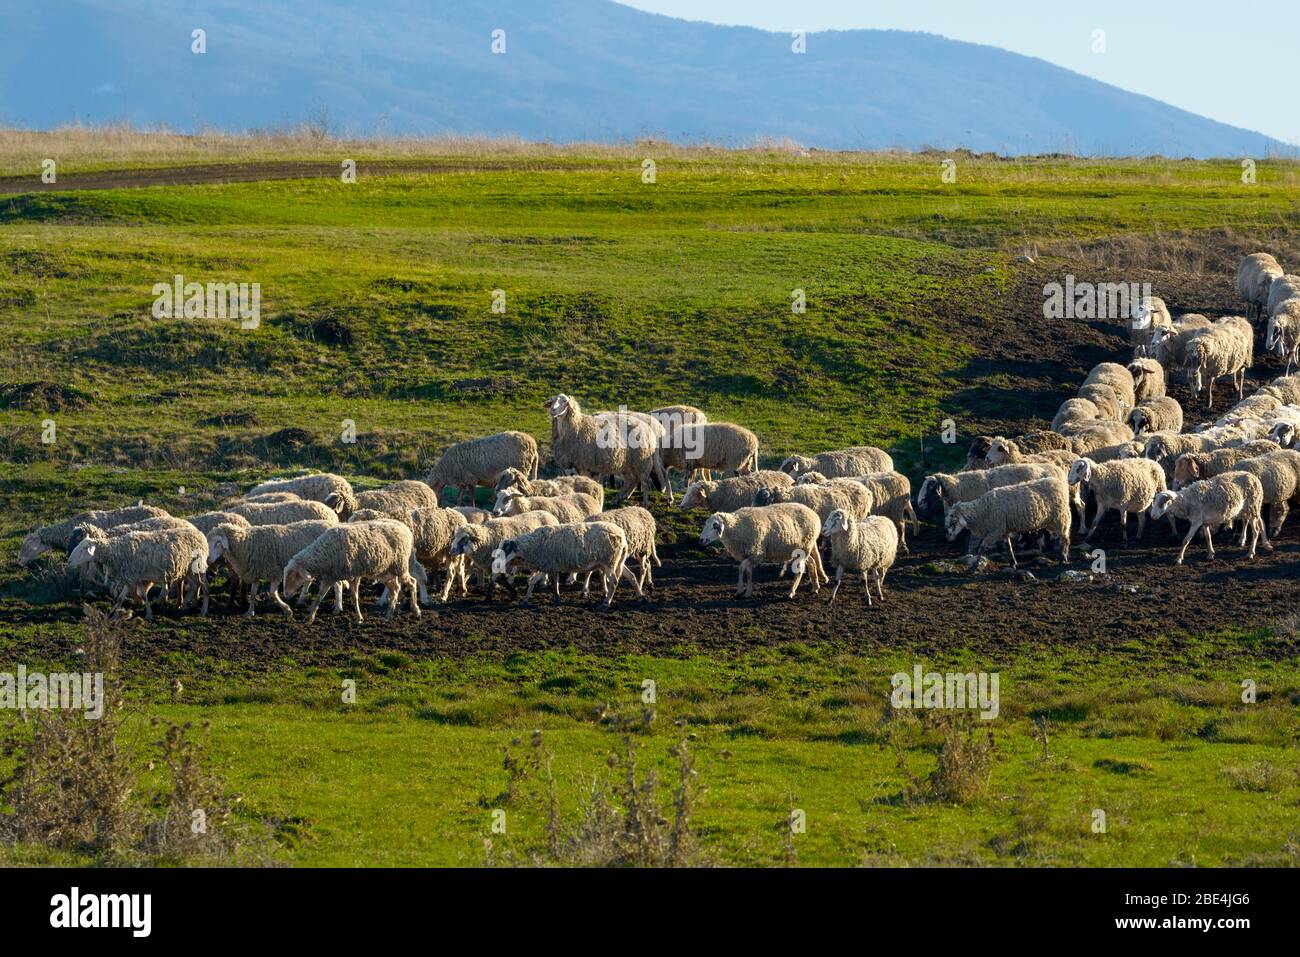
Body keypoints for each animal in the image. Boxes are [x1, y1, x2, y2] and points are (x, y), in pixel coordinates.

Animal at [65, 522, 206, 621]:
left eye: (83, 549)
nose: (69, 561)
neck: (118, 552)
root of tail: (199, 534)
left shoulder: (137, 576)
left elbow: (143, 594)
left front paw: (148, 613)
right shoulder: (130, 576)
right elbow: (120, 598)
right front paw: (113, 614)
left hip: (194, 567)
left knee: (199, 585)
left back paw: (195, 607)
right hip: (187, 569)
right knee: (195, 585)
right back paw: (184, 605)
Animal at [283, 520, 421, 624]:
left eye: (294, 576)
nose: (285, 594)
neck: (325, 554)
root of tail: (404, 527)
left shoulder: (353, 575)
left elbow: (354, 597)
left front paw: (359, 618)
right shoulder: (330, 577)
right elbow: (319, 597)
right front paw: (310, 618)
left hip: (400, 566)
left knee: (412, 582)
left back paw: (415, 610)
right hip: (386, 572)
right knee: (395, 589)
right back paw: (389, 614)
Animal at [491, 520, 629, 600]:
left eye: (506, 550)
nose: (495, 565)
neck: (534, 546)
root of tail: (622, 536)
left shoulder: (550, 565)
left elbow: (553, 582)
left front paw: (555, 598)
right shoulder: (548, 565)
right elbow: (538, 581)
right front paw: (528, 598)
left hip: (609, 562)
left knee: (614, 581)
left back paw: (606, 602)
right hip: (609, 562)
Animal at [941, 475, 1071, 564]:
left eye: (953, 521)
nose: (947, 538)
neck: (982, 511)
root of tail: (1057, 482)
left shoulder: (995, 529)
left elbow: (982, 547)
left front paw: (974, 567)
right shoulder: (1003, 529)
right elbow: (1009, 547)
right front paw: (1013, 562)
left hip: (1060, 518)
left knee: (1064, 538)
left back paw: (1063, 557)